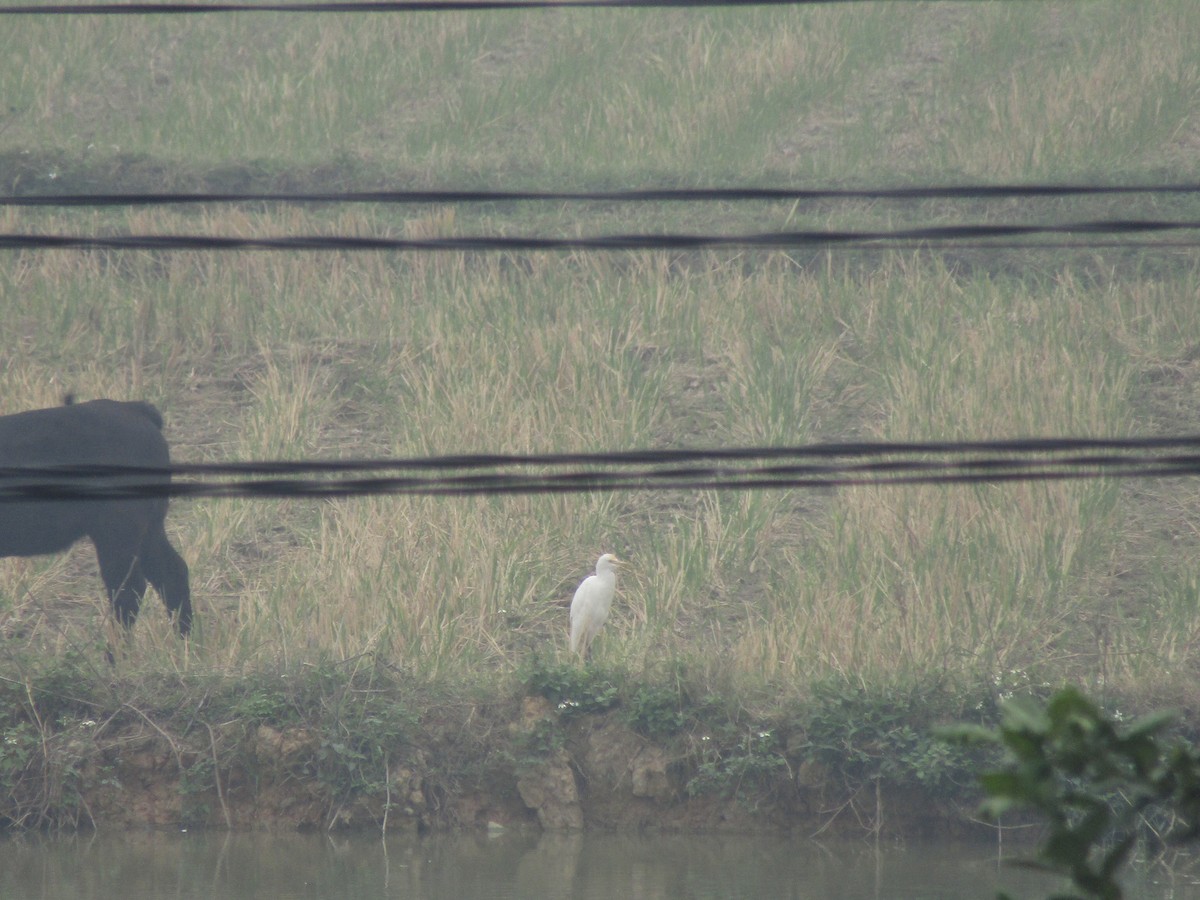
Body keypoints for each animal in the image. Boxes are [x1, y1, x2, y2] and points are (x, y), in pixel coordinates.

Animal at [0, 399, 191, 635]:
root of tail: (133, 410)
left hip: (117, 534)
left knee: (128, 590)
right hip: (149, 529)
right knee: (171, 573)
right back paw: (185, 639)